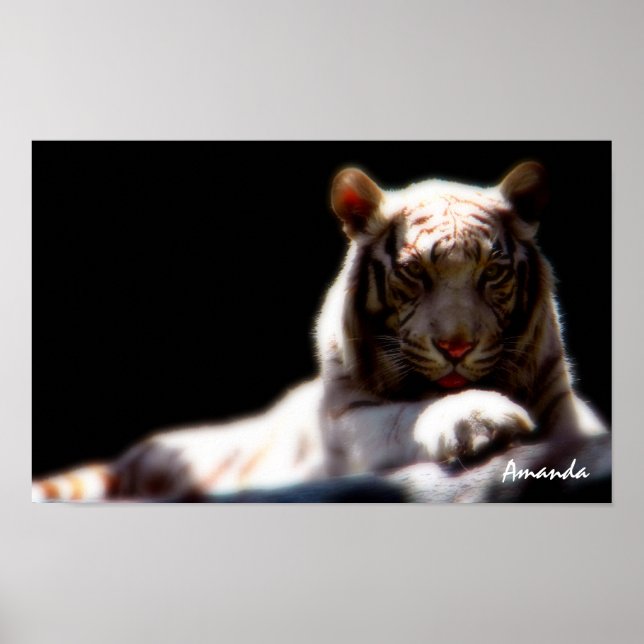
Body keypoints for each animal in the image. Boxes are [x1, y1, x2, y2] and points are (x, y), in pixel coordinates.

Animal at [32, 161, 607, 502]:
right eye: (414, 272)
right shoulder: (345, 424)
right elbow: (404, 415)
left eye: (492, 272)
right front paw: (479, 417)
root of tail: (132, 456)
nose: (456, 347)